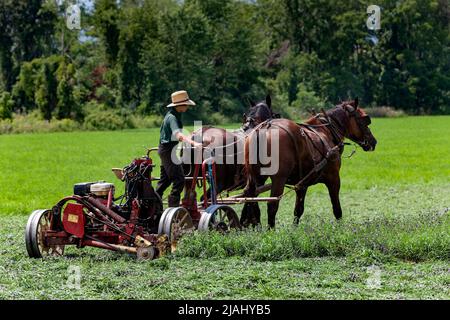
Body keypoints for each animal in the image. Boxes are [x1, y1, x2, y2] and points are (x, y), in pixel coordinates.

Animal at [243, 99, 376, 229]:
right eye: (365, 119)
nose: (374, 142)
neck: (326, 131)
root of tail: (264, 128)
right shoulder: (334, 178)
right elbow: (337, 209)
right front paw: (341, 229)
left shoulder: (301, 184)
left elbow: (298, 210)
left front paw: (294, 230)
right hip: (279, 179)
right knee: (272, 204)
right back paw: (271, 231)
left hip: (255, 177)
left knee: (251, 200)